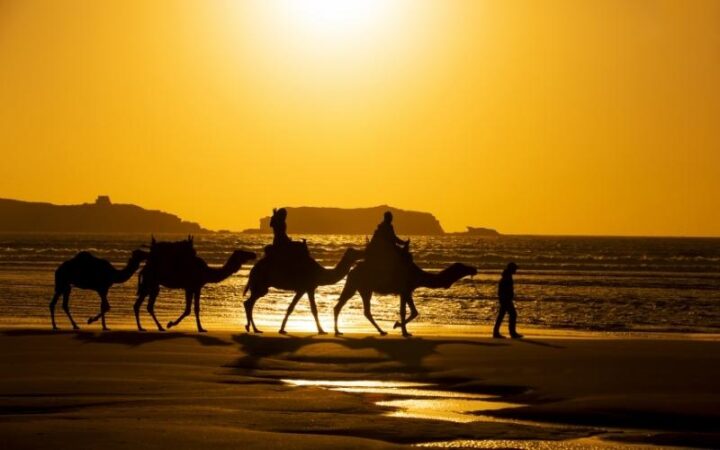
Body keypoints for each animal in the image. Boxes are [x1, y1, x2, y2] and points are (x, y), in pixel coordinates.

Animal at [334, 260, 478, 338]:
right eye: (462, 267)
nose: (474, 269)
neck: (418, 276)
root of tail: (352, 270)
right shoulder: (406, 290)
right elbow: (409, 312)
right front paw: (400, 328)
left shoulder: (406, 291)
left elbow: (410, 311)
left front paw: (402, 329)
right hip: (359, 286)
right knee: (347, 306)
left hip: (360, 287)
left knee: (355, 308)